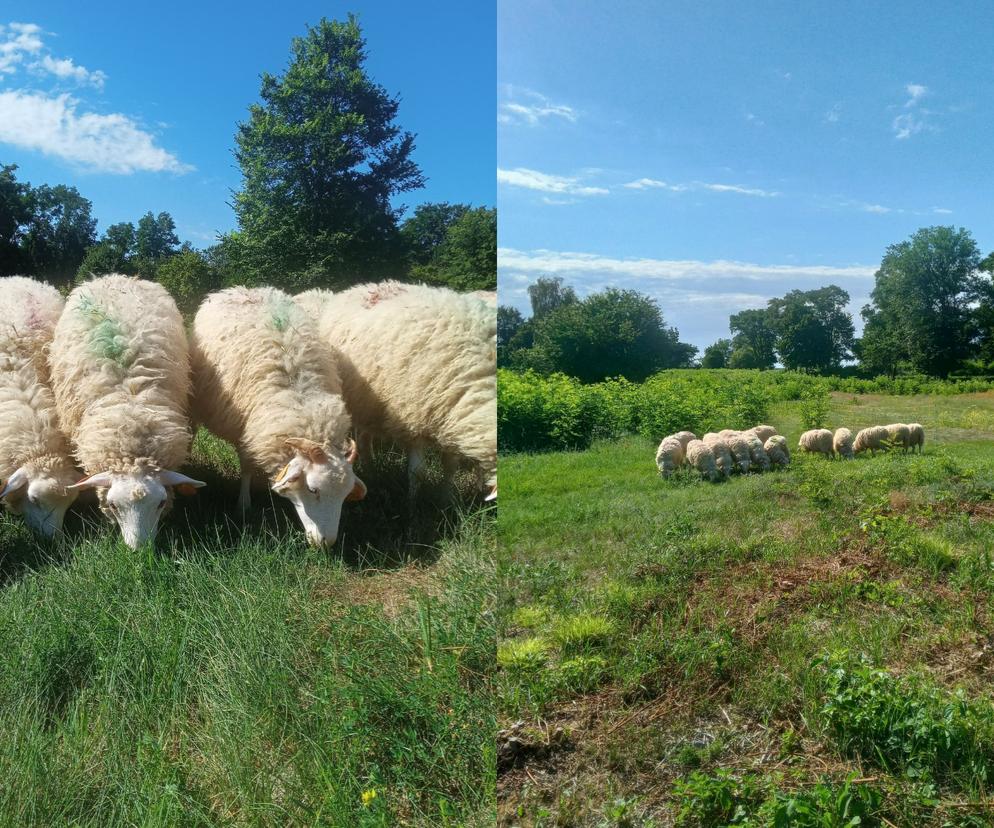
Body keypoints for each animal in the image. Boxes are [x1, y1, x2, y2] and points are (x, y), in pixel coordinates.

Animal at [190, 288, 364, 548]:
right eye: (313, 490)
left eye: (345, 495)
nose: (326, 542)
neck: (299, 398)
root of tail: (242, 288)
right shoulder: (247, 429)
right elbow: (246, 467)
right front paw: (243, 505)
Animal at [316, 280, 494, 498]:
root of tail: (362, 286)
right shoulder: (411, 420)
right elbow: (417, 472)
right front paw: (413, 502)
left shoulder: (451, 415)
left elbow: (450, 466)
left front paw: (445, 497)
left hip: (367, 403)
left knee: (365, 438)